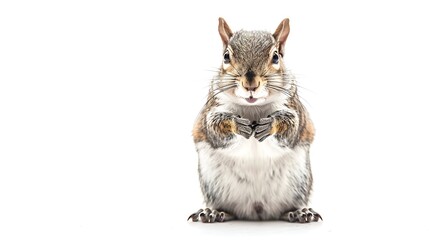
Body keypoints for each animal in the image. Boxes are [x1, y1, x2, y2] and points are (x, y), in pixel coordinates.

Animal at [187, 18, 320, 223]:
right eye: (226, 56)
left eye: (276, 57)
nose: (251, 84)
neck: (252, 108)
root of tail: (256, 210)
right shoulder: (211, 109)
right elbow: (213, 127)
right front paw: (236, 123)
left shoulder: (294, 107)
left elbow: (292, 127)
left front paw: (271, 124)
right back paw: (214, 212)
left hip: (300, 184)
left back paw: (300, 212)